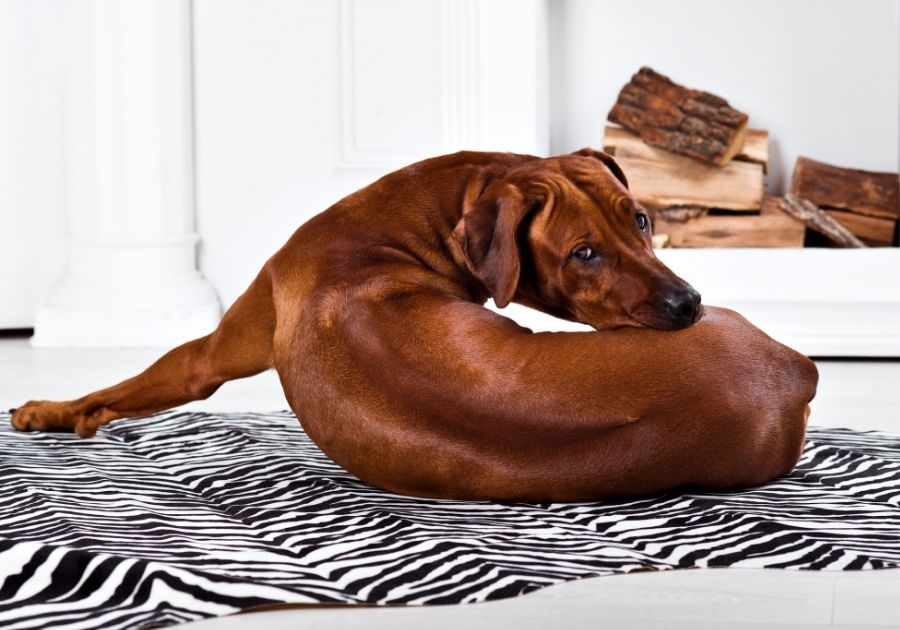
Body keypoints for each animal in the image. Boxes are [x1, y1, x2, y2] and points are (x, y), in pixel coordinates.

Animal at [10, 149, 820, 504]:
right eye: (584, 252)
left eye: (642, 219)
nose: (690, 304)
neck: (394, 225)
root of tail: (792, 373)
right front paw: (55, 412)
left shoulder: (215, 350)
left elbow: (147, 376)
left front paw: (52, 409)